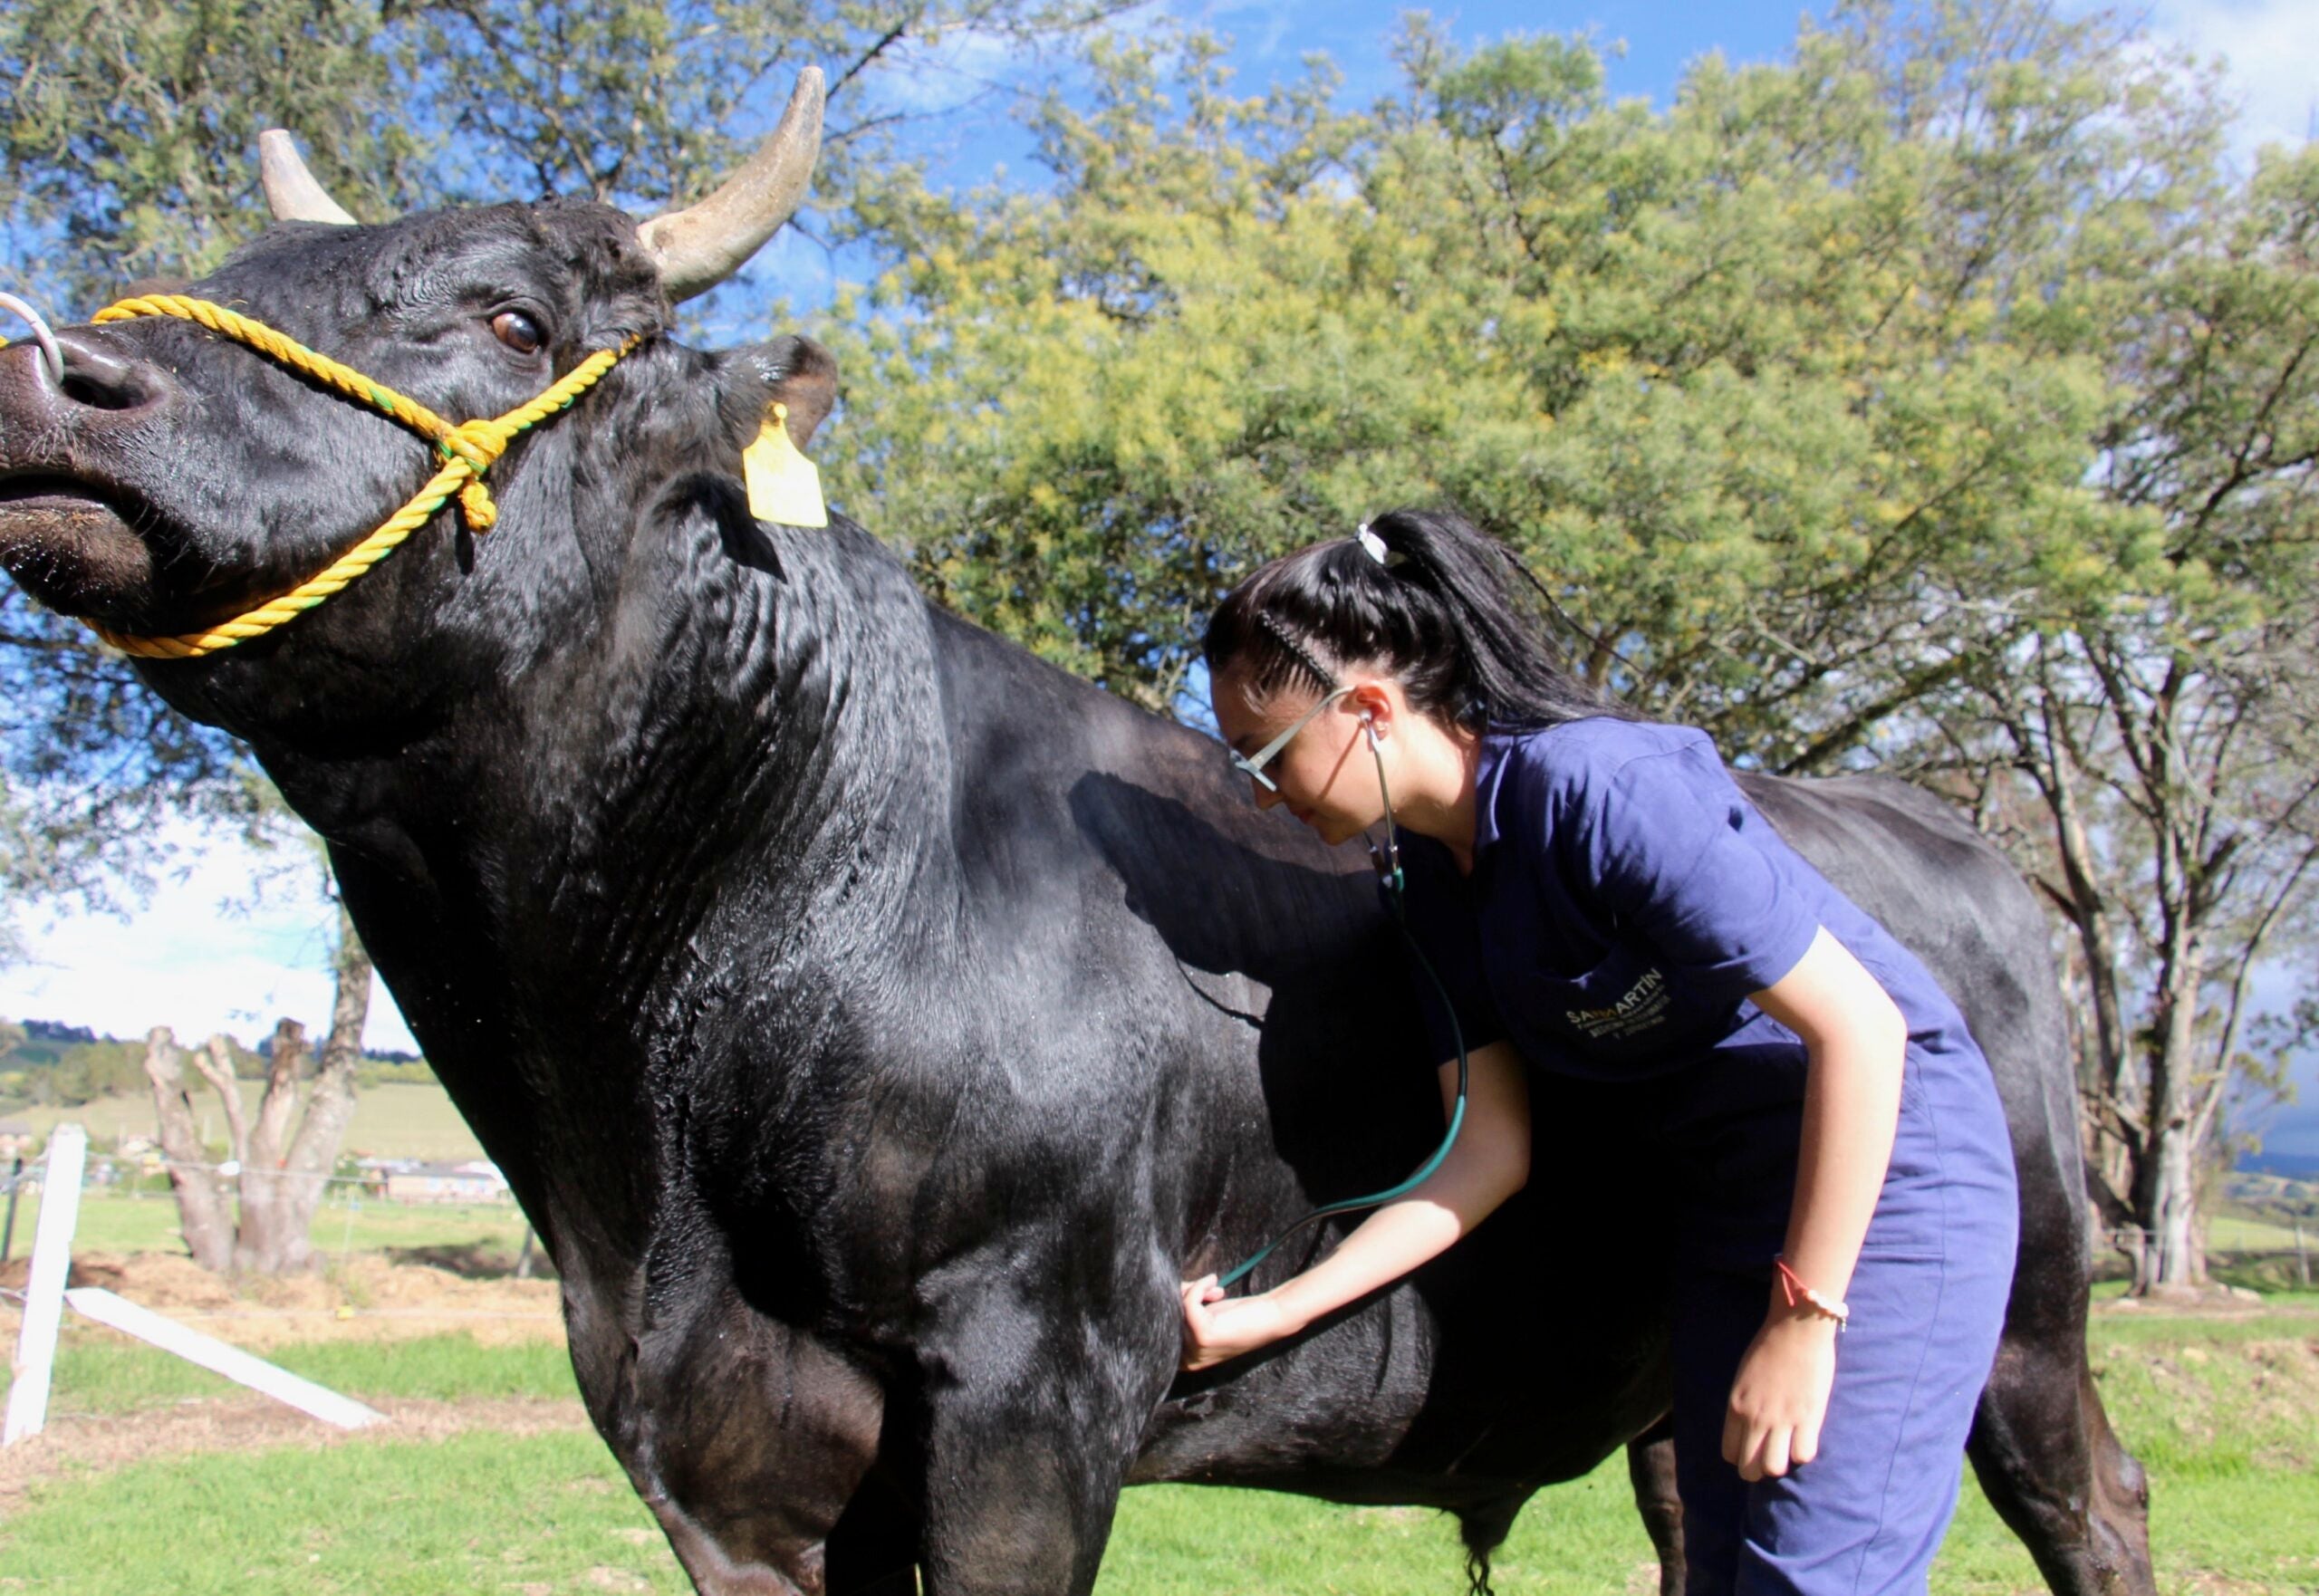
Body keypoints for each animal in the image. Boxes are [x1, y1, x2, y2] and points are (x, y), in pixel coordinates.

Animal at [0, 203, 2151, 1596]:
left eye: (514, 319)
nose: (59, 372)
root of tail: (1920, 822)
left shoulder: (1037, 1375)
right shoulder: (719, 1443)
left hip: (2022, 1315)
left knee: (2094, 1497)